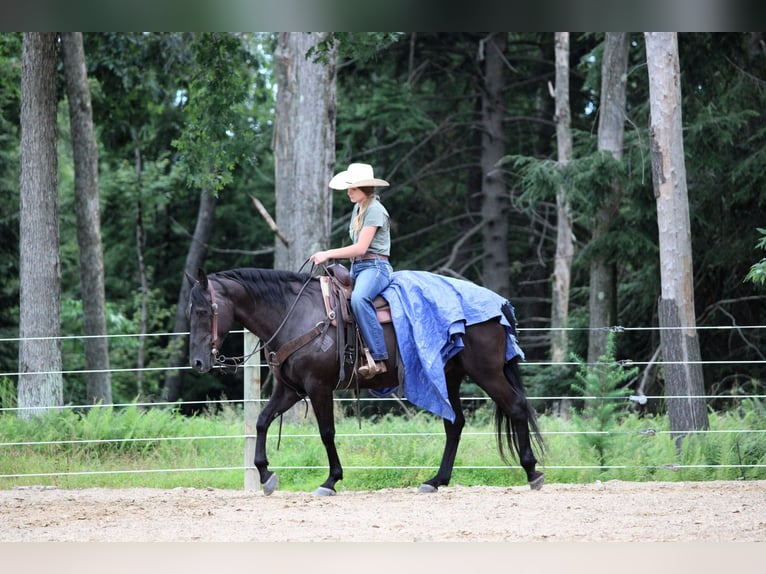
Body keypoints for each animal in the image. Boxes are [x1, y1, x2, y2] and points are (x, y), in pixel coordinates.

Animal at [187, 266, 545, 496]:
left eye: (205, 311)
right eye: (191, 312)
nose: (198, 362)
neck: (294, 314)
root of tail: (497, 304)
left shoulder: (318, 387)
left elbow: (326, 433)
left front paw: (331, 480)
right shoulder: (290, 389)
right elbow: (261, 422)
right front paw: (265, 474)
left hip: (487, 372)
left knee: (515, 407)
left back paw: (533, 472)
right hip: (449, 376)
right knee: (455, 423)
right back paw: (436, 480)